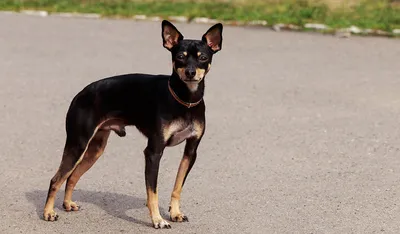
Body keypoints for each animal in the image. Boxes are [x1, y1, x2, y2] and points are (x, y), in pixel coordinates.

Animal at [43, 20, 223, 229]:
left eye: (203, 57)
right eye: (180, 57)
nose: (190, 72)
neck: (185, 101)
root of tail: (80, 94)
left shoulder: (191, 151)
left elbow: (177, 186)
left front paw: (175, 213)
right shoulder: (153, 152)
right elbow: (152, 192)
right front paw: (158, 220)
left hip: (95, 149)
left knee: (71, 176)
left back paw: (67, 204)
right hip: (78, 144)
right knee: (56, 179)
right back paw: (48, 212)